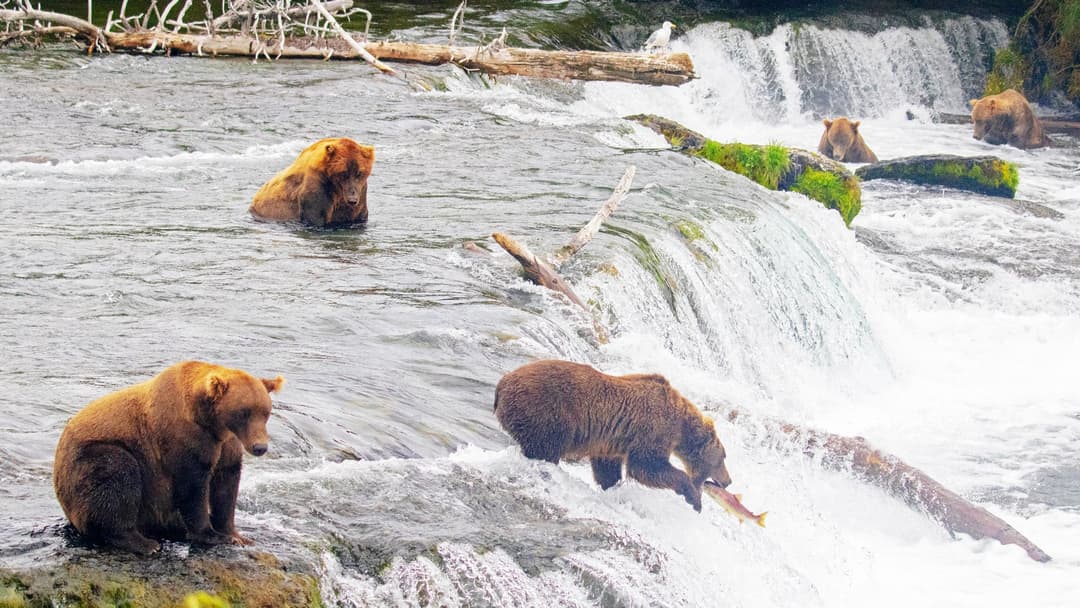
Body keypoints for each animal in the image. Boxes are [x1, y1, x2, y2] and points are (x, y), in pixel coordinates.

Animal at [53, 361, 284, 554]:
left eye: (265, 412)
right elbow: (193, 486)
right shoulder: (183, 438)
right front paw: (211, 535)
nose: (260, 447)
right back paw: (144, 543)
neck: (211, 423)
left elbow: (226, 484)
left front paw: (236, 535)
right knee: (118, 477)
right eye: (244, 412)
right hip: (92, 460)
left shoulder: (227, 444)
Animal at [493, 359, 732, 511]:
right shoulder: (653, 428)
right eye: (723, 458)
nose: (728, 481)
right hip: (547, 413)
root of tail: (502, 384)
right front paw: (694, 498)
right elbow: (647, 467)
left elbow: (608, 468)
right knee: (545, 449)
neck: (682, 427)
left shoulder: (611, 442)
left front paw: (613, 487)